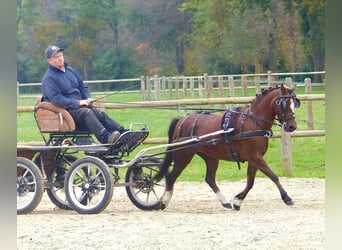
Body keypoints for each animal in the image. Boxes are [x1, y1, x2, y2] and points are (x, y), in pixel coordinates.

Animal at [154, 85, 300, 210]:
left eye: (294, 103)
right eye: (283, 103)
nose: (292, 126)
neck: (253, 122)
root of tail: (182, 120)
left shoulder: (254, 159)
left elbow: (250, 182)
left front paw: (237, 201)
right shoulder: (256, 157)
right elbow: (273, 176)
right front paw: (287, 198)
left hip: (211, 157)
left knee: (210, 179)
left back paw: (225, 202)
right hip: (183, 156)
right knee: (171, 177)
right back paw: (164, 201)